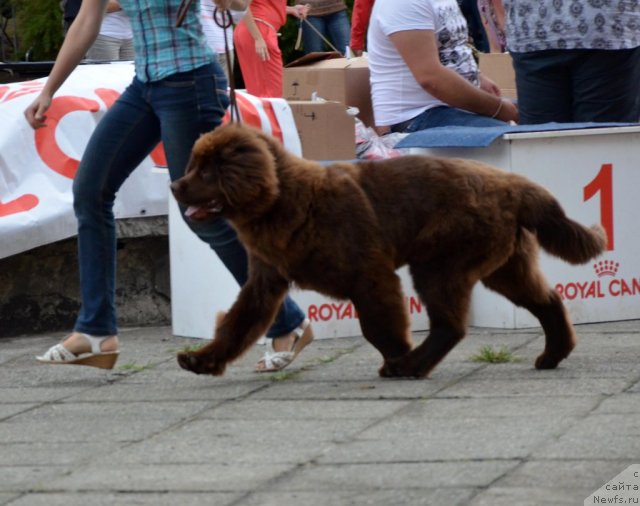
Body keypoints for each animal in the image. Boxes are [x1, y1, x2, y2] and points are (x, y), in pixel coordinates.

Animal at [170, 121, 604, 376]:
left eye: (206, 172)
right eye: (193, 165)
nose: (175, 186)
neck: (284, 200)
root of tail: (513, 184)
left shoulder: (369, 274)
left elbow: (378, 326)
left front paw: (396, 356)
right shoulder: (264, 281)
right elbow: (236, 324)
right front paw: (202, 360)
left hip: (440, 265)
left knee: (451, 326)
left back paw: (409, 366)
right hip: (503, 265)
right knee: (548, 301)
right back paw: (553, 355)